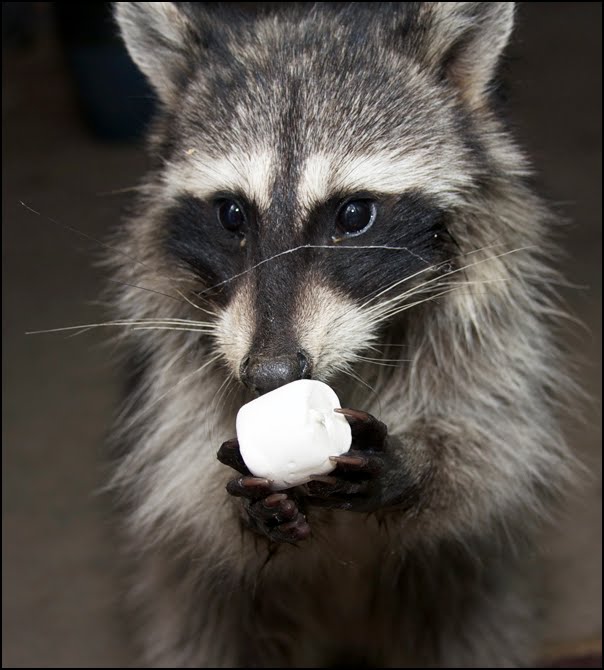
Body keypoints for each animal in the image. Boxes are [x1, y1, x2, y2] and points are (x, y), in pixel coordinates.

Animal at [110, 2, 573, 667]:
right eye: (231, 214)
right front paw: (250, 509)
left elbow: (492, 450)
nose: (270, 375)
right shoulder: (179, 346)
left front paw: (418, 466)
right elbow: (181, 481)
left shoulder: (495, 316)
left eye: (353, 215)